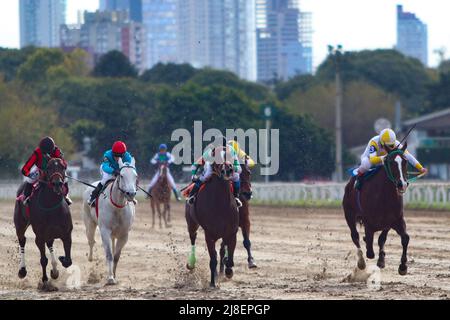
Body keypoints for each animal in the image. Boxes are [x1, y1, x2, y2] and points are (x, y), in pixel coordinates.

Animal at [13, 159, 72, 292]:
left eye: (63, 167)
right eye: (48, 168)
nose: (57, 183)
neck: (51, 206)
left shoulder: (67, 234)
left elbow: (68, 261)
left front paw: (60, 262)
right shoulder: (39, 237)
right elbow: (43, 260)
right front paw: (45, 282)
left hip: (49, 234)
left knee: (50, 244)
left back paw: (54, 270)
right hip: (20, 225)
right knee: (22, 240)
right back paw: (22, 270)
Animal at [185, 149, 239, 288]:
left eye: (230, 155)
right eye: (216, 157)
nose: (228, 169)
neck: (221, 204)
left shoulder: (231, 232)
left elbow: (229, 258)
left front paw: (228, 271)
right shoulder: (209, 234)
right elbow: (212, 260)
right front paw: (212, 283)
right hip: (191, 224)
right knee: (193, 239)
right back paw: (191, 263)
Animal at [344, 144, 412, 276]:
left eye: (405, 161)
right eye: (391, 162)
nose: (402, 184)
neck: (384, 195)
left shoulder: (395, 220)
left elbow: (403, 238)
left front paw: (402, 266)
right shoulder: (369, 222)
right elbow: (370, 250)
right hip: (349, 214)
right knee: (355, 236)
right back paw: (361, 262)